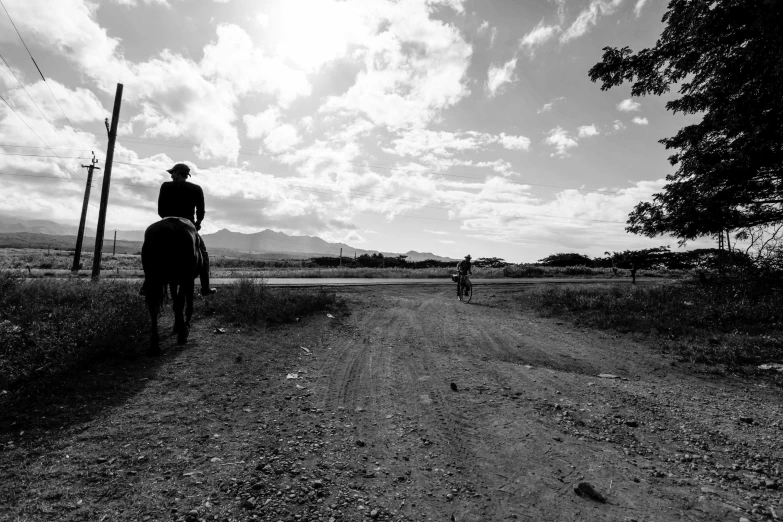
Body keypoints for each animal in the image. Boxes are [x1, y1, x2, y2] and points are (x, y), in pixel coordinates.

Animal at [141, 215, 202, 354]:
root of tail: (168, 229)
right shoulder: (189, 279)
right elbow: (186, 304)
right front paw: (184, 326)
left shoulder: (173, 281)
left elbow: (175, 302)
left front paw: (177, 325)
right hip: (184, 276)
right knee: (180, 304)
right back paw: (182, 335)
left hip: (153, 278)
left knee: (153, 306)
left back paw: (154, 344)